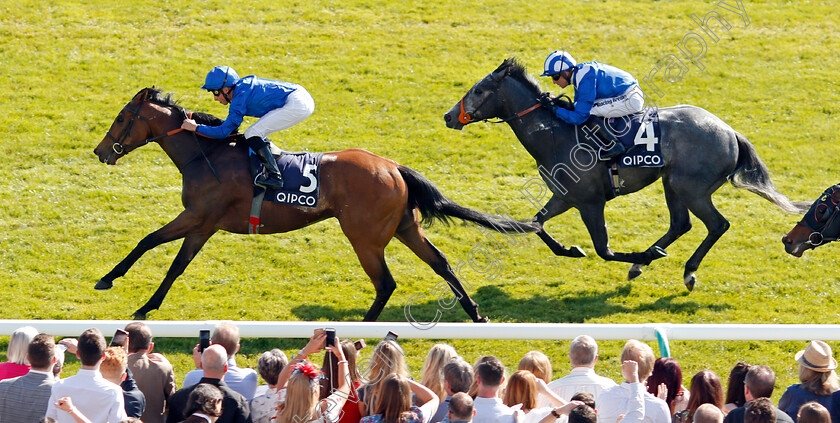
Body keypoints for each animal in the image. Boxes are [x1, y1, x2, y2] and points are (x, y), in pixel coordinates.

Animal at [93, 87, 540, 322]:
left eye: (121, 118)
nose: (101, 152)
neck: (207, 154)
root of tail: (393, 166)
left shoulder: (197, 216)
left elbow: (149, 240)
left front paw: (109, 280)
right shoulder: (203, 225)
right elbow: (175, 265)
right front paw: (145, 305)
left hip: (364, 237)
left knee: (386, 283)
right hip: (404, 228)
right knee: (441, 263)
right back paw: (475, 312)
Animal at [442, 58, 804, 292]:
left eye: (478, 91)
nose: (448, 116)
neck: (556, 134)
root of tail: (730, 133)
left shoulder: (590, 202)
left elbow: (603, 250)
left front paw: (640, 254)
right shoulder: (565, 197)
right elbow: (536, 225)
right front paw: (572, 249)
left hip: (692, 189)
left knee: (717, 225)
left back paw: (685, 270)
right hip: (672, 183)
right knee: (681, 224)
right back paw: (644, 263)